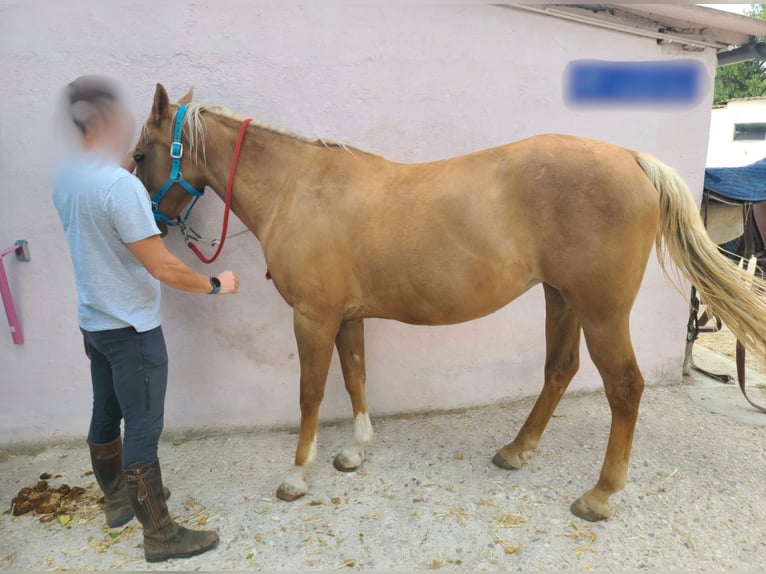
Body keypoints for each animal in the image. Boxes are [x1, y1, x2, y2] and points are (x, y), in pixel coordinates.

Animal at [133, 84, 766, 522]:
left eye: (140, 154)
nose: (149, 228)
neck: (301, 187)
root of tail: (632, 159)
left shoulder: (312, 316)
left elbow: (311, 393)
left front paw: (297, 477)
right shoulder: (346, 316)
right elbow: (356, 377)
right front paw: (355, 454)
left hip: (601, 310)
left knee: (626, 387)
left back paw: (600, 494)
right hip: (561, 299)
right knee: (560, 370)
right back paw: (516, 450)